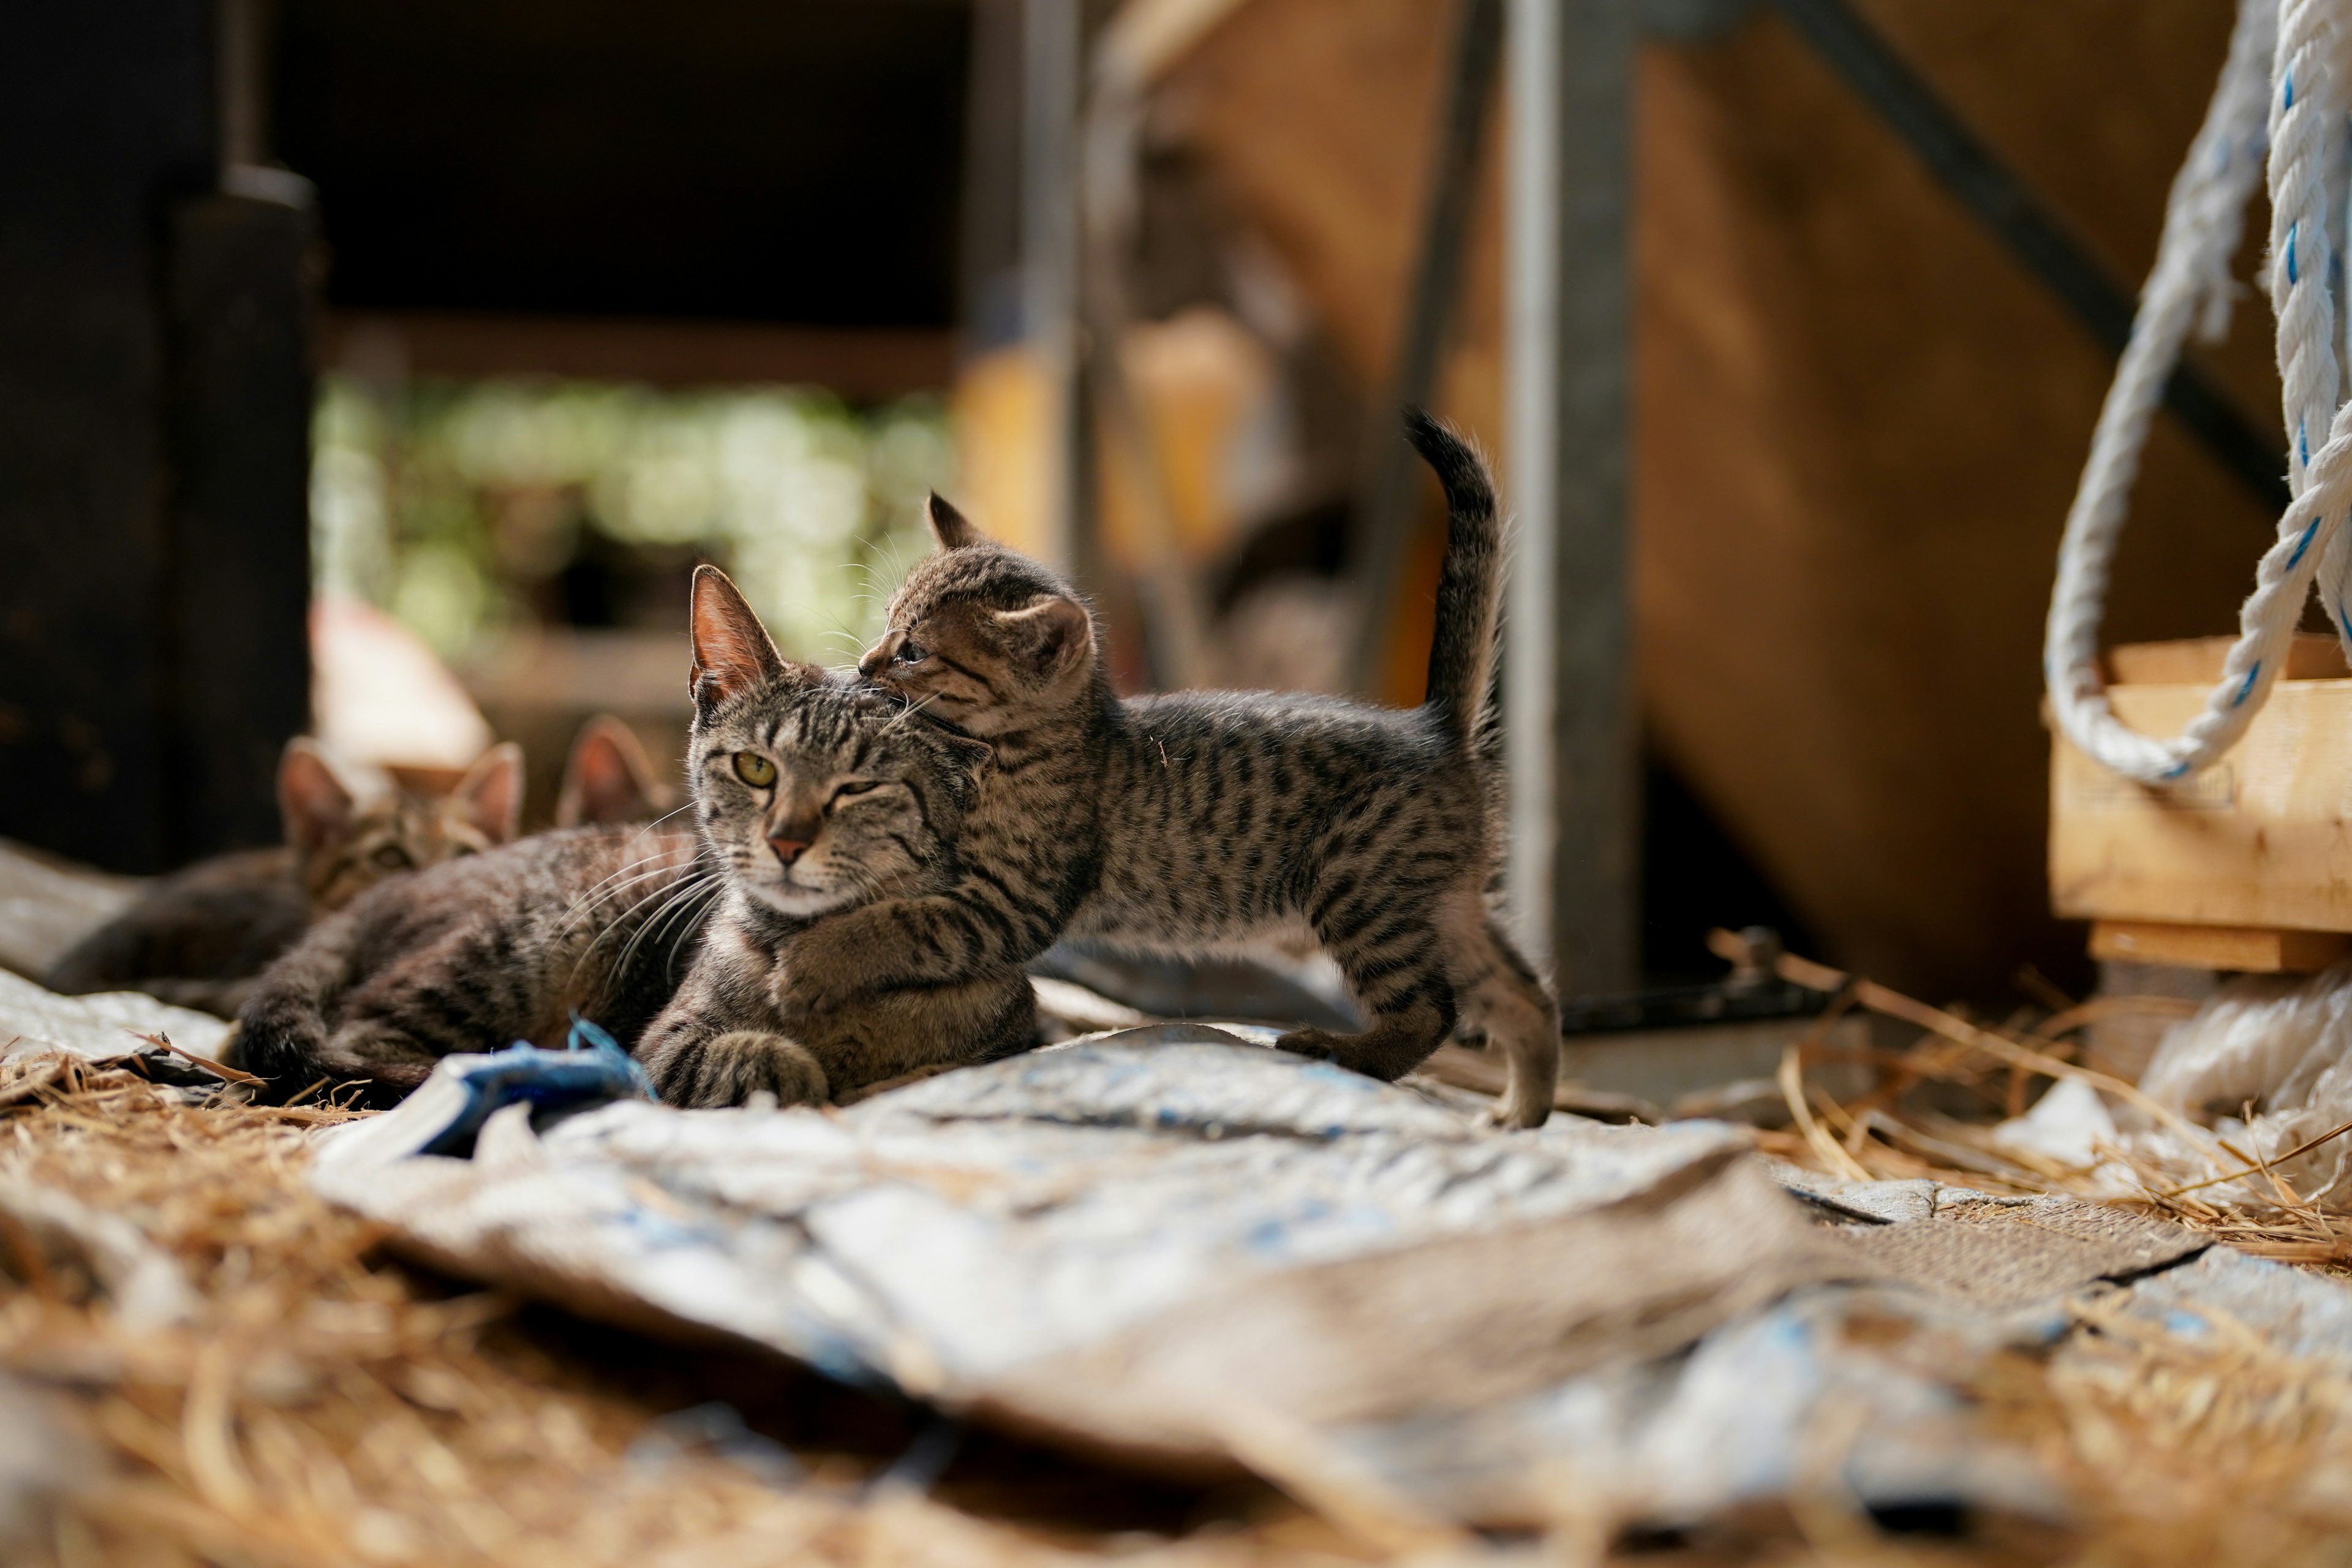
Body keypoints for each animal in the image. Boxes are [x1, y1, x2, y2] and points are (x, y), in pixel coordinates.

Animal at [236, 571, 1030, 1109]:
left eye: (861, 787)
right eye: (755, 767)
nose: (785, 841)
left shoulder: (1008, 1036)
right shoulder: (665, 1039)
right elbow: (743, 1057)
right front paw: (801, 1072)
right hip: (524, 949)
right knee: (367, 1035)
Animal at [809, 409, 1561, 1128]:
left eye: (913, 652)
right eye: (885, 625)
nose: (865, 665)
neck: (1029, 746)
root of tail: (1435, 729)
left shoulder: (1011, 902)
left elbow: (899, 922)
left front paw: (819, 961)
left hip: (1362, 892)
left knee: (1433, 1010)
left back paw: (1345, 1052)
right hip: (1444, 909)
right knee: (1530, 999)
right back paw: (1522, 1113)